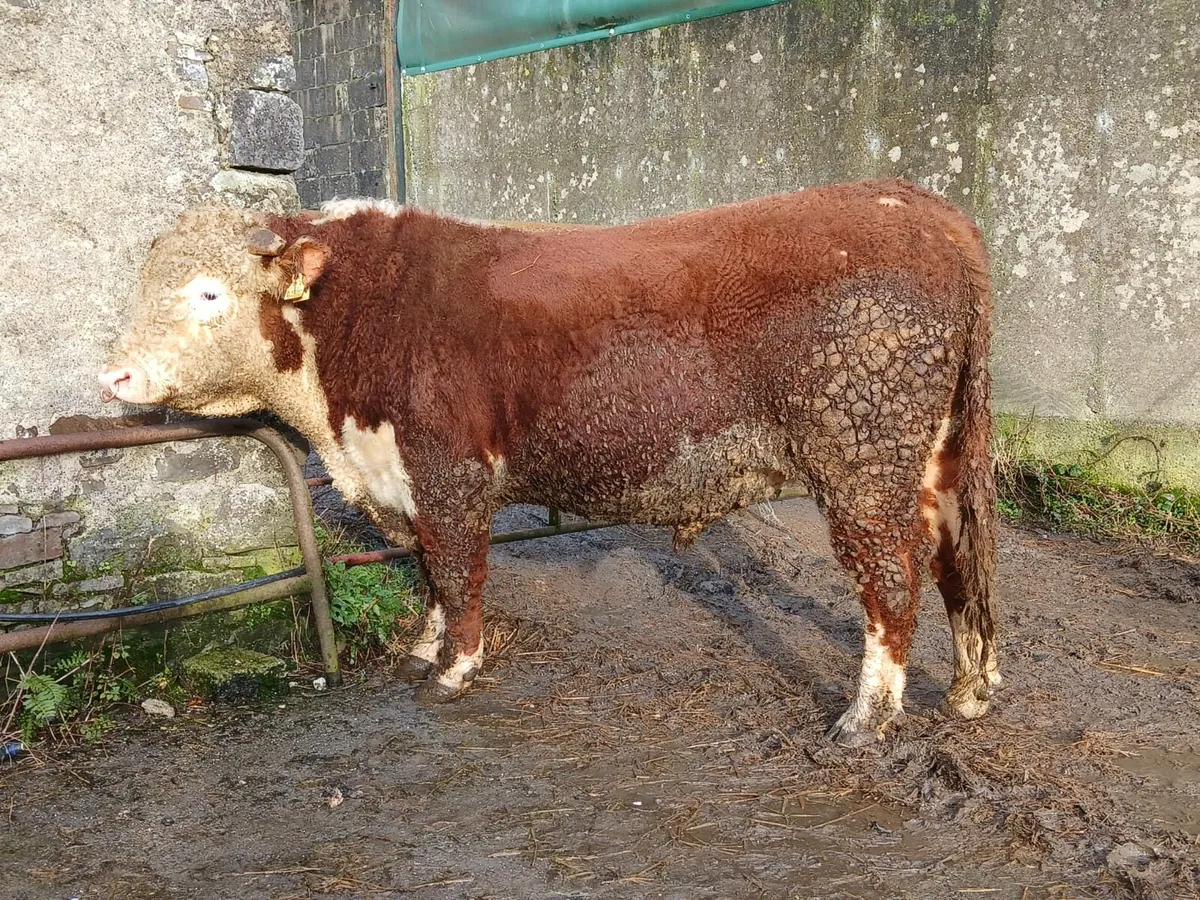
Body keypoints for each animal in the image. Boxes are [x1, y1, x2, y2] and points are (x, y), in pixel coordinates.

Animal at [99, 179, 999, 743]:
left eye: (210, 292)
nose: (116, 375)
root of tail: (923, 206)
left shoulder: (448, 469)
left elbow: (457, 570)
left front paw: (455, 669)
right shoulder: (402, 477)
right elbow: (428, 572)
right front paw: (424, 647)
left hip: (860, 457)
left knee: (893, 579)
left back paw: (866, 719)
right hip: (934, 458)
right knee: (957, 561)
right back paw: (970, 691)